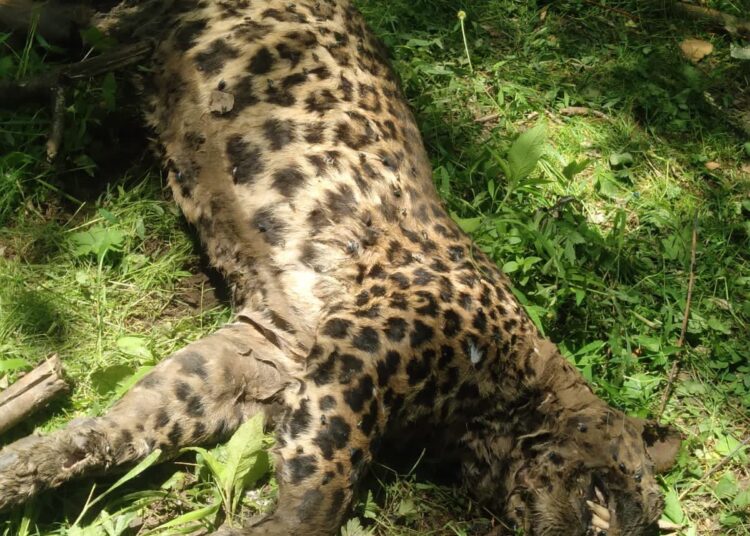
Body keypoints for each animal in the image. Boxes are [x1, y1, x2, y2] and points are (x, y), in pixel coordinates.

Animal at [0, 1, 682, 534]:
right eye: (621, 490)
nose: (621, 527)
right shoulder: (359, 352)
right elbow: (329, 476)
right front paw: (275, 527)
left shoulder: (261, 359)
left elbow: (144, 414)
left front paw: (32, 464)